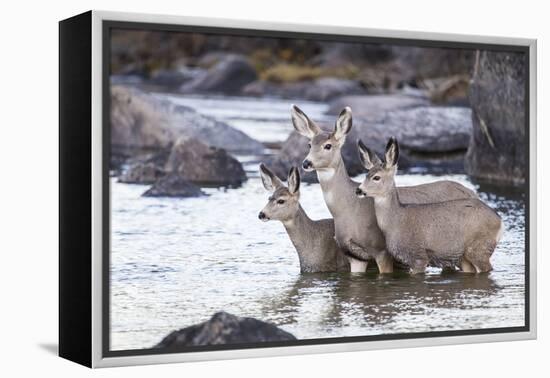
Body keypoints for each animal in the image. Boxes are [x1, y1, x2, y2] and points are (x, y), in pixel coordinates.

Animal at [294, 105, 478, 274]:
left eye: (328, 145)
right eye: (309, 144)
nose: (306, 163)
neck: (347, 209)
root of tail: (473, 193)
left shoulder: (381, 249)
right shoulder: (354, 255)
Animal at [358, 137, 504, 274]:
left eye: (376, 177)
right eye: (366, 175)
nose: (358, 190)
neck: (395, 221)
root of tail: (500, 221)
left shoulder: (418, 255)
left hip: (480, 247)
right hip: (465, 256)